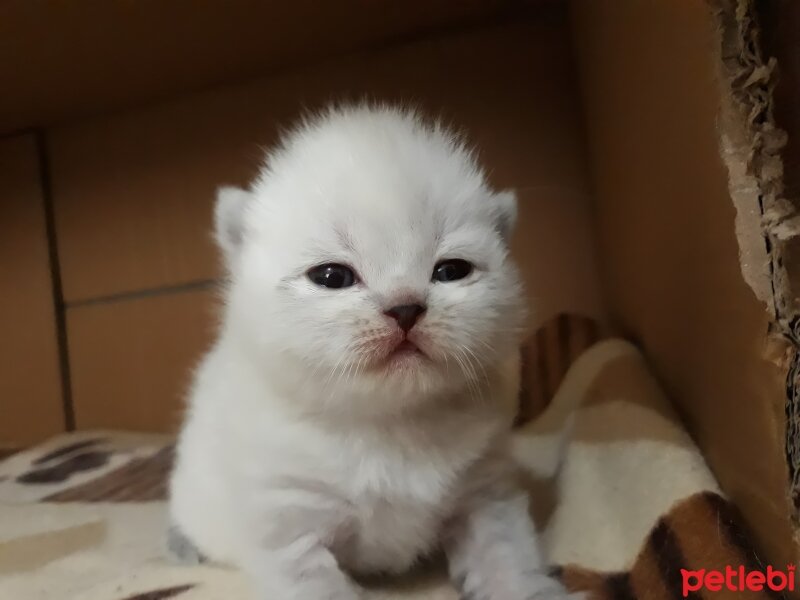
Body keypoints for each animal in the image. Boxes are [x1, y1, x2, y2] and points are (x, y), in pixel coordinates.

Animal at [167, 105, 568, 596]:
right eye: (332, 277)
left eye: (451, 270)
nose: (405, 308)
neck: (391, 425)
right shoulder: (288, 522)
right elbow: (314, 582)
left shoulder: (485, 491)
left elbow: (507, 556)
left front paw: (530, 589)